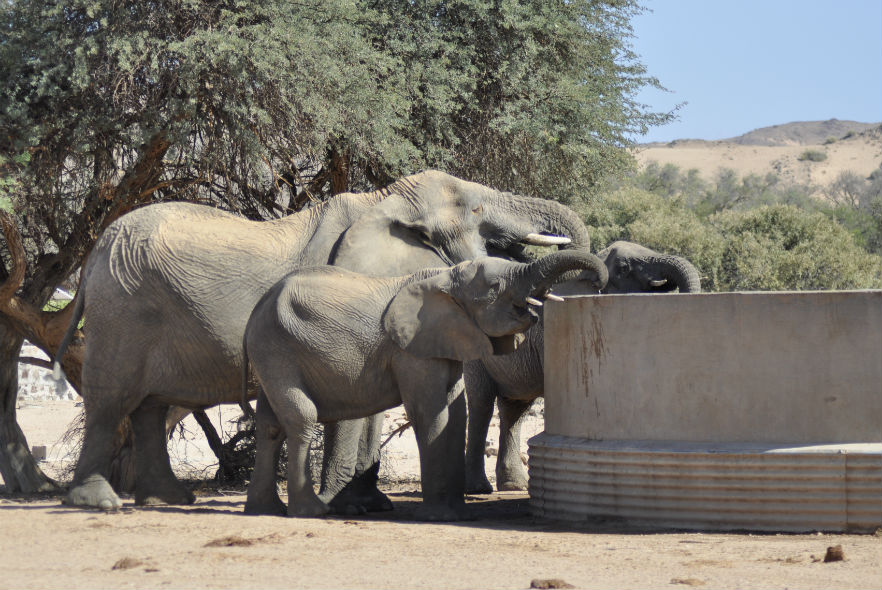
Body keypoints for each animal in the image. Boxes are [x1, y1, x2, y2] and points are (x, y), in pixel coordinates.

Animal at [244, 252, 608, 520]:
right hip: (276, 347)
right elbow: (430, 412)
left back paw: (264, 510)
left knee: (270, 424)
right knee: (302, 416)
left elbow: (455, 414)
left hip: (271, 349)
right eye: (494, 286)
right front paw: (441, 516)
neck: (446, 278)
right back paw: (312, 511)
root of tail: (259, 304)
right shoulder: (410, 349)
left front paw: (459, 513)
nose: (600, 281)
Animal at [464, 240, 696, 494]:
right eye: (624, 268)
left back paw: (514, 485)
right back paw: (478, 487)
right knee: (482, 404)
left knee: (516, 409)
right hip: (476, 352)